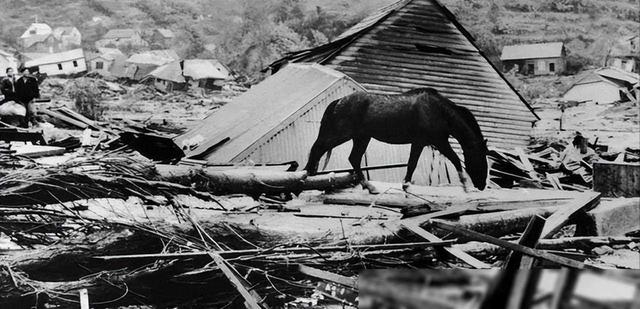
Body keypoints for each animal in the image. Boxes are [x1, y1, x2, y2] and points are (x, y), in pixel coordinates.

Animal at [304, 86, 490, 192]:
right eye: (481, 157)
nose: (481, 185)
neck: (438, 111)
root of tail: (338, 101)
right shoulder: (438, 142)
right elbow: (455, 159)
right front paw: (464, 185)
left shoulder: (421, 143)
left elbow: (412, 163)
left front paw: (406, 185)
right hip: (342, 134)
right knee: (318, 148)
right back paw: (305, 177)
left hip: (361, 137)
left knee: (353, 158)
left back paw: (369, 186)